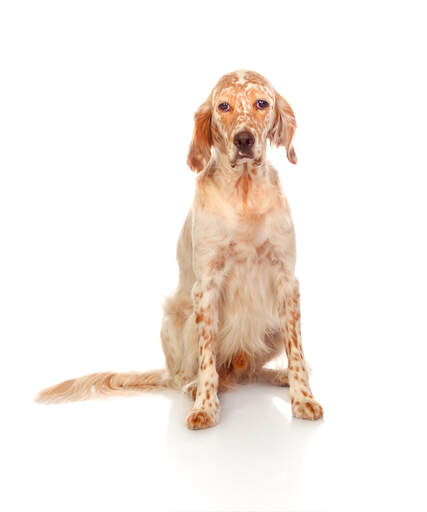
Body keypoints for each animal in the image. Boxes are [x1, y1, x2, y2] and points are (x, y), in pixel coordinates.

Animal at [36, 69, 324, 428]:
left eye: (262, 103)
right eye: (224, 106)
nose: (244, 140)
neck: (244, 194)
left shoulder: (287, 282)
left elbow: (296, 351)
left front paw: (303, 397)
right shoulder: (206, 287)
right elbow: (207, 361)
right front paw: (205, 406)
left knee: (253, 371)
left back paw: (278, 375)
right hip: (177, 322)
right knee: (186, 375)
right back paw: (193, 386)